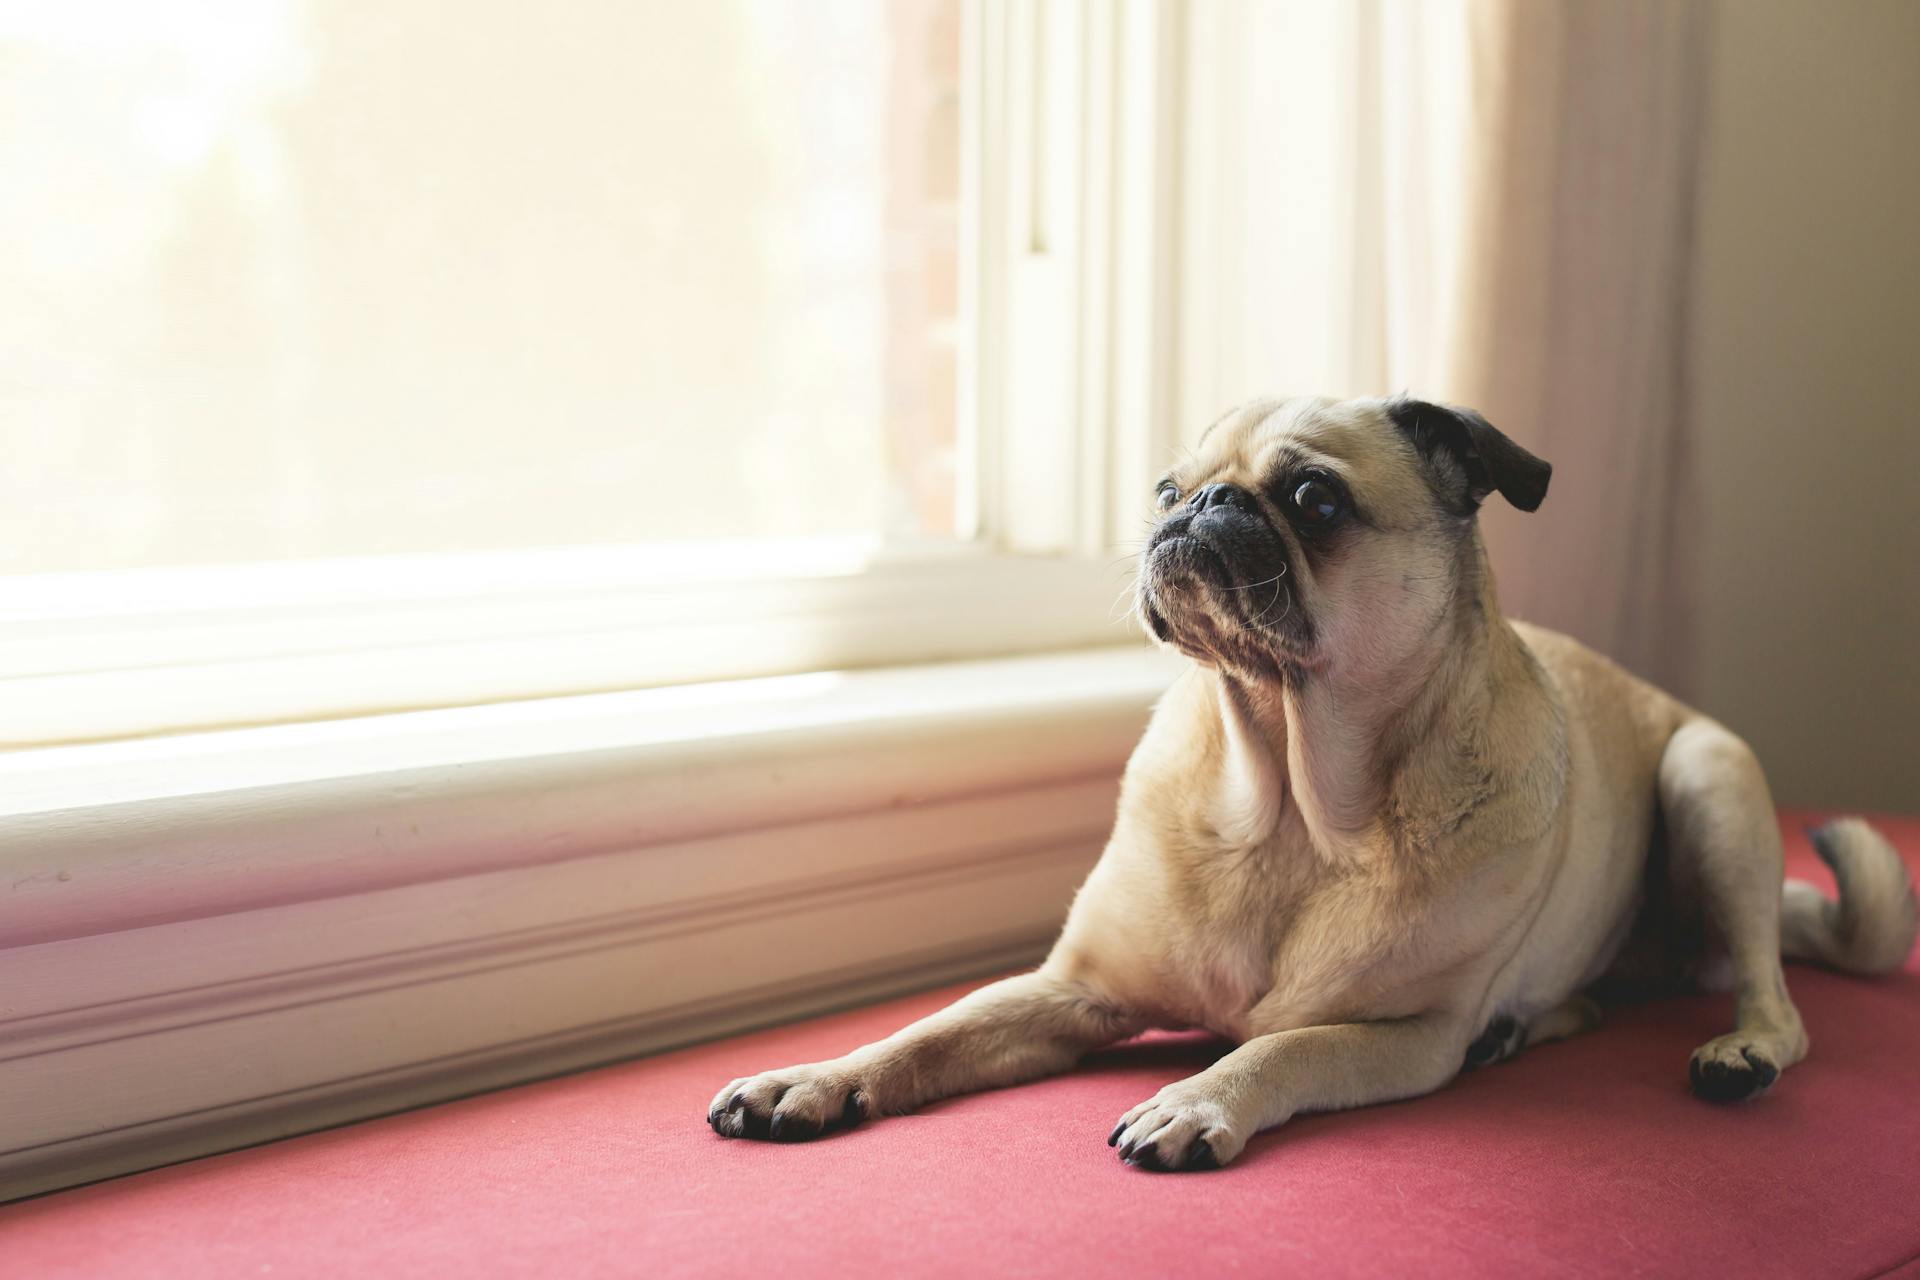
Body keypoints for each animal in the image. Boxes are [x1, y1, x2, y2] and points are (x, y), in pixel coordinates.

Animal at [706, 395, 1920, 1166]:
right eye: (1167, 486)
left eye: (1312, 499)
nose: (1197, 509)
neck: (1286, 803)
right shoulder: (1070, 989)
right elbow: (928, 1033)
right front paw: (814, 1076)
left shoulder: (1405, 1034)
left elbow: (1284, 1043)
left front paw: (1200, 1097)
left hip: (1711, 784)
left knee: (1775, 994)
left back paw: (1739, 1048)